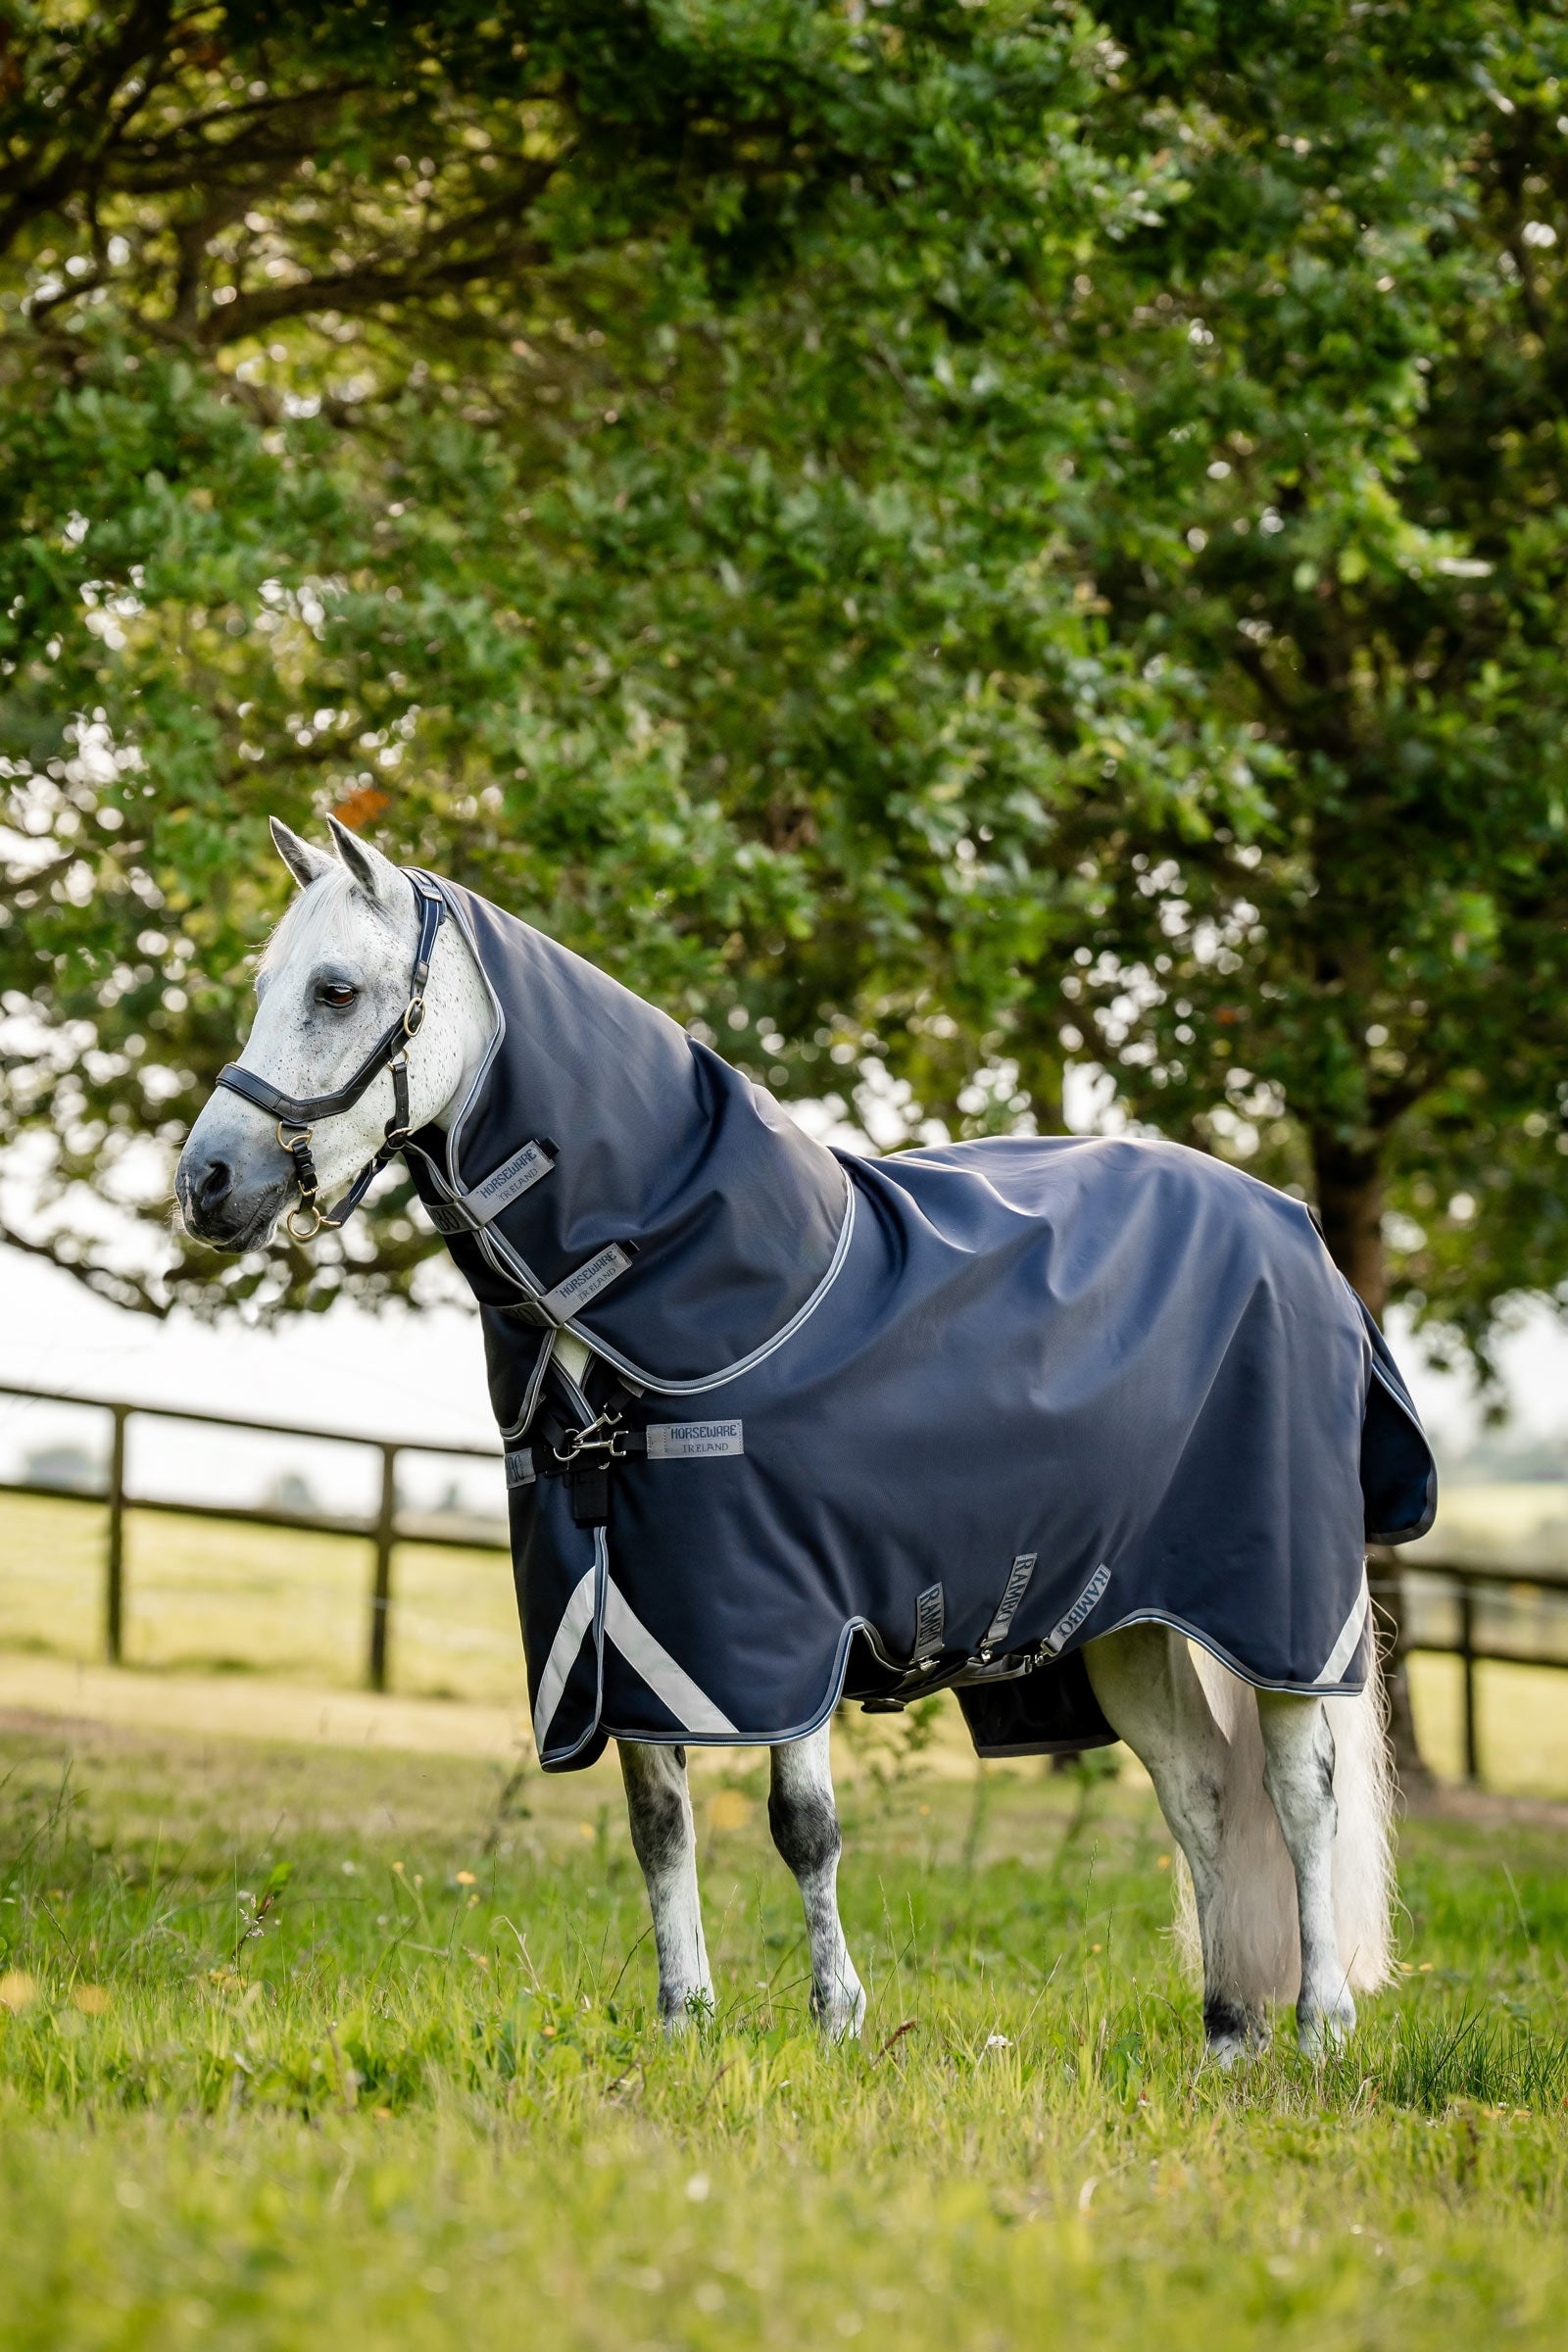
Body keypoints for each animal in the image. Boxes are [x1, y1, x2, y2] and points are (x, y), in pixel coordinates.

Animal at [176, 816, 1432, 2061]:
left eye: (337, 990)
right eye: (266, 986)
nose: (207, 1183)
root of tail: (1300, 1235)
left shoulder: (787, 1628)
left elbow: (802, 1826)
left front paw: (836, 2019)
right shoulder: (635, 1628)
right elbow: (658, 1823)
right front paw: (683, 2020)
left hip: (1279, 1611)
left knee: (1300, 1793)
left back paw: (1319, 2025)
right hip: (1130, 1623)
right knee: (1202, 1796)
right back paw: (1225, 2030)